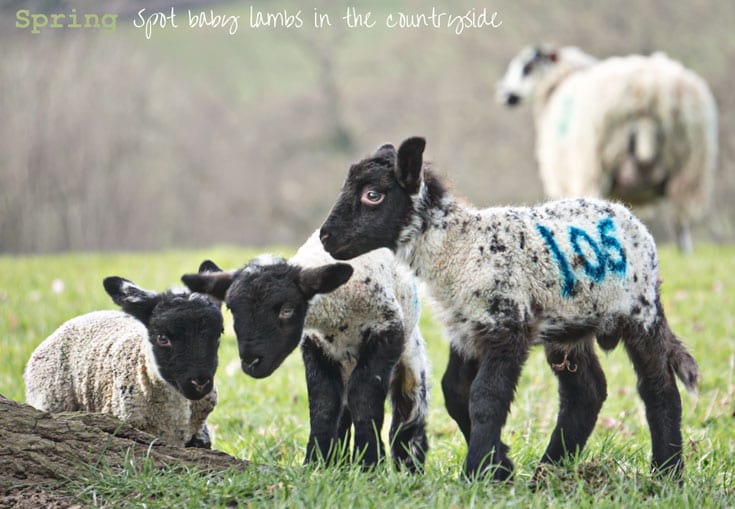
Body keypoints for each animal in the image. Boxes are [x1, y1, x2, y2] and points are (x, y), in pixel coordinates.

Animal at [322, 137, 700, 482]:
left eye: (373, 195)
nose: (326, 237)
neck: (457, 250)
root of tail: (630, 217)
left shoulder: (507, 325)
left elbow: (486, 397)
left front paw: (478, 472)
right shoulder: (467, 327)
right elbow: (455, 392)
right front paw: (500, 466)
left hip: (639, 312)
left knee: (660, 389)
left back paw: (667, 473)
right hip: (569, 325)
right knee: (586, 393)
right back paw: (547, 472)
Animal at [494, 45, 720, 252]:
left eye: (527, 67)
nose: (504, 94)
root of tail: (649, 88)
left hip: (595, 165)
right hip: (689, 169)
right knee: (681, 221)